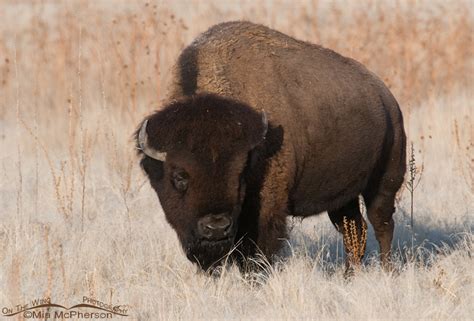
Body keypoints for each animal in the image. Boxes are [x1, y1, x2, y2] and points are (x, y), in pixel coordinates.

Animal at [135, 21, 406, 272]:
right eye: (179, 176)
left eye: (239, 174)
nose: (216, 227)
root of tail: (386, 98)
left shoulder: (265, 208)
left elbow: (256, 251)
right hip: (343, 197)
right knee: (354, 231)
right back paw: (349, 275)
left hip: (383, 183)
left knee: (381, 225)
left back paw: (387, 270)